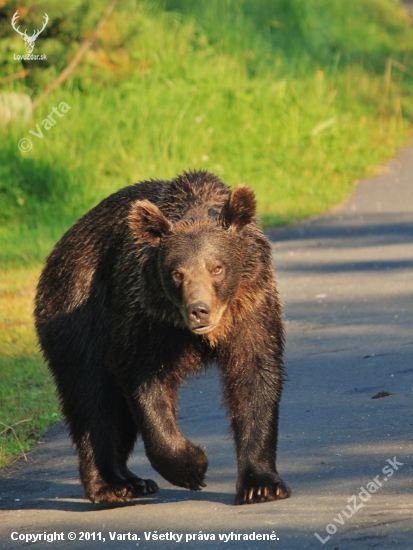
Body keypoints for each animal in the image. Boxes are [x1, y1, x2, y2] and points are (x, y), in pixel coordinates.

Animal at [34, 170, 290, 506]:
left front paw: (261, 485)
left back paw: (132, 479)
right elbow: (141, 378)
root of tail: (61, 246)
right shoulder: (144, 316)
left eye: (217, 267)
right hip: (77, 308)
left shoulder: (251, 309)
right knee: (91, 394)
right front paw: (193, 466)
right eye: (177, 273)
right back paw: (111, 484)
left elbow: (255, 376)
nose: (199, 310)